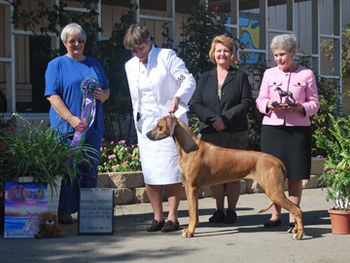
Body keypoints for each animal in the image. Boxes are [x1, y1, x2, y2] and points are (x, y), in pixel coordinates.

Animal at [146, 114, 304, 240]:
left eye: (159, 126)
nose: (147, 134)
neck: (189, 147)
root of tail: (278, 161)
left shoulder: (192, 188)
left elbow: (192, 213)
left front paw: (190, 232)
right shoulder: (189, 188)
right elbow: (193, 213)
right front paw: (190, 229)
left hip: (274, 191)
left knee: (296, 210)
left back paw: (299, 234)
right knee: (297, 207)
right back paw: (295, 229)